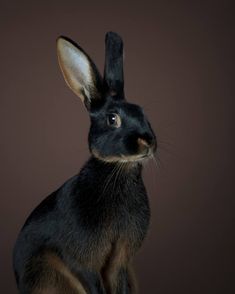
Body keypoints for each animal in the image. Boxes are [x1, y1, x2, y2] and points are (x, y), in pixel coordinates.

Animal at [13, 32, 158, 294]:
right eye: (113, 119)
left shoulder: (119, 262)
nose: (148, 141)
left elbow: (119, 283)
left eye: (143, 113)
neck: (118, 169)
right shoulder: (81, 262)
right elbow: (93, 283)